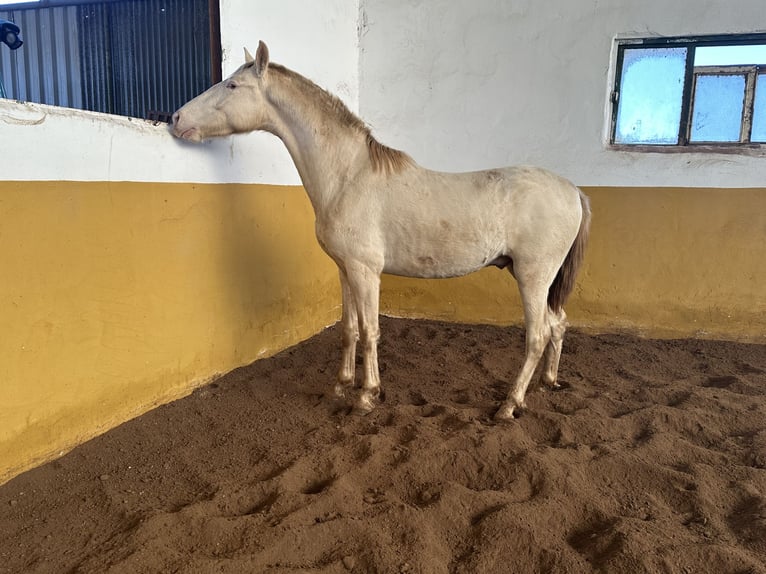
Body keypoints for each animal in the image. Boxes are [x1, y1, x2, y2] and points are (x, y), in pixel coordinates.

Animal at [176, 38, 592, 420]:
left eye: (232, 86)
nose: (177, 119)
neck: (348, 176)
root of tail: (573, 189)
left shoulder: (366, 272)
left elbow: (370, 331)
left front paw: (366, 396)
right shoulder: (345, 270)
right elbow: (349, 329)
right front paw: (341, 386)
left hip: (532, 276)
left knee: (537, 335)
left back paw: (509, 404)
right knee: (558, 325)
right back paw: (545, 384)